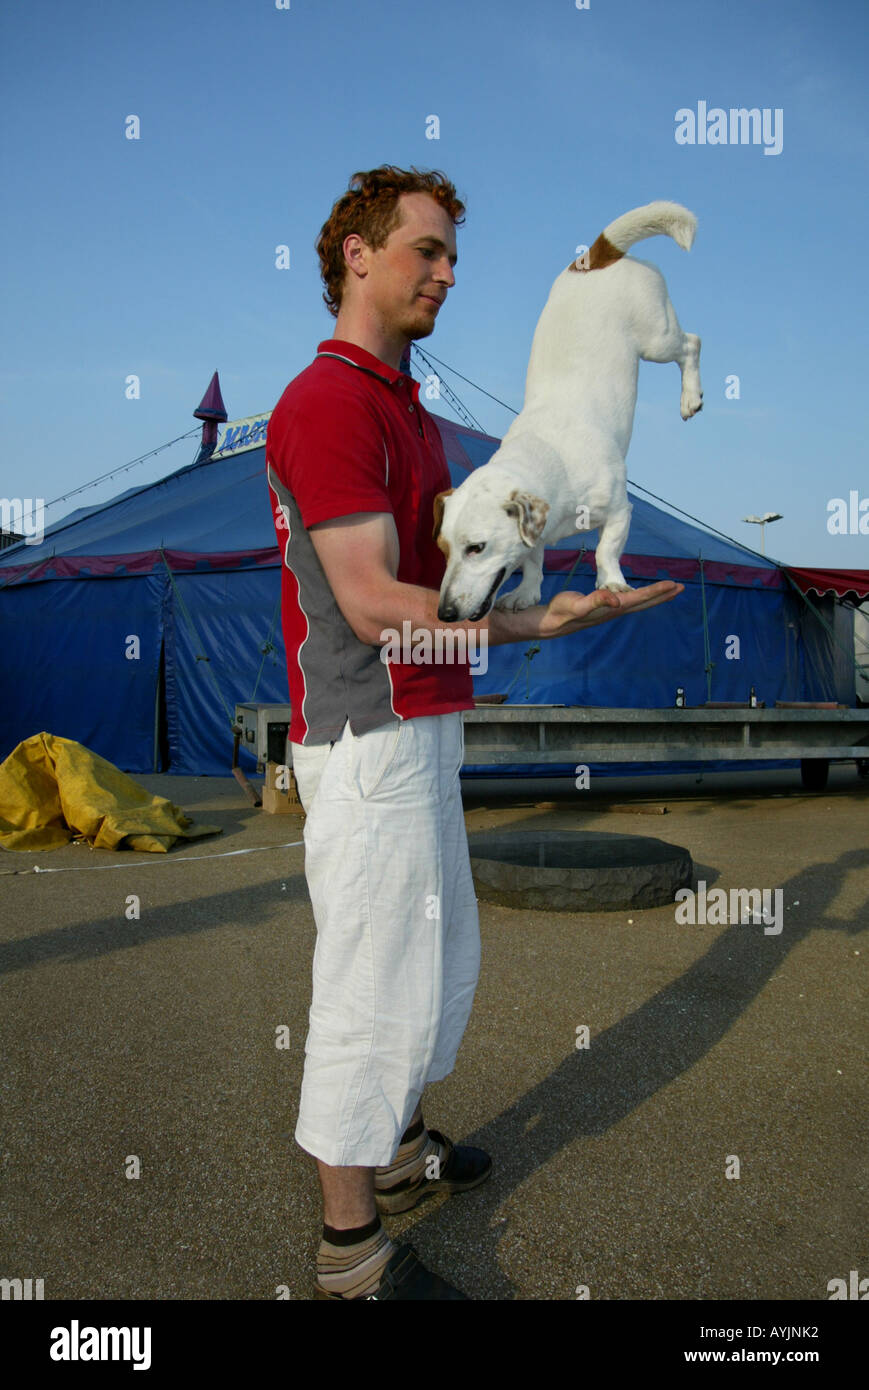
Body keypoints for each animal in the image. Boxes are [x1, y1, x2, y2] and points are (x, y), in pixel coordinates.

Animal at [431, 198, 700, 622]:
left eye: (477, 548)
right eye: (443, 549)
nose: (444, 614)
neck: (550, 457)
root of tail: (599, 254)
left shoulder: (620, 510)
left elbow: (606, 550)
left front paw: (611, 582)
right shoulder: (537, 534)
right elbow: (533, 561)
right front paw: (526, 593)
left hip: (657, 337)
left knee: (691, 344)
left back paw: (691, 397)